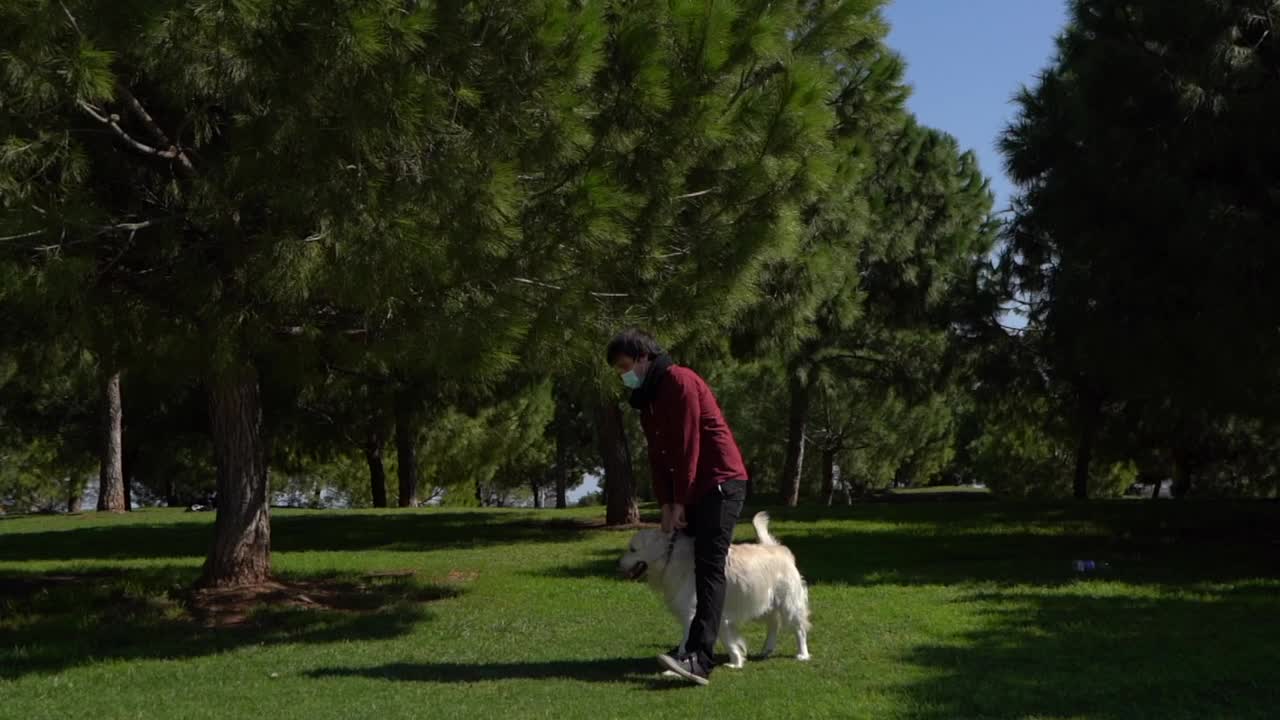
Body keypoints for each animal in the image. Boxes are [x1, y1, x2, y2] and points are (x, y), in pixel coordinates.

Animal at [616, 509, 808, 666]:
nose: (619, 564)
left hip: (788, 603)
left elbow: (689, 642)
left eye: (632, 549)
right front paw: (736, 660)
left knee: (799, 628)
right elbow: (727, 638)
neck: (670, 558)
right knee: (774, 623)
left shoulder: (693, 613)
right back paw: (767, 649)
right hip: (760, 603)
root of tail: (777, 548)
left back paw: (802, 654)